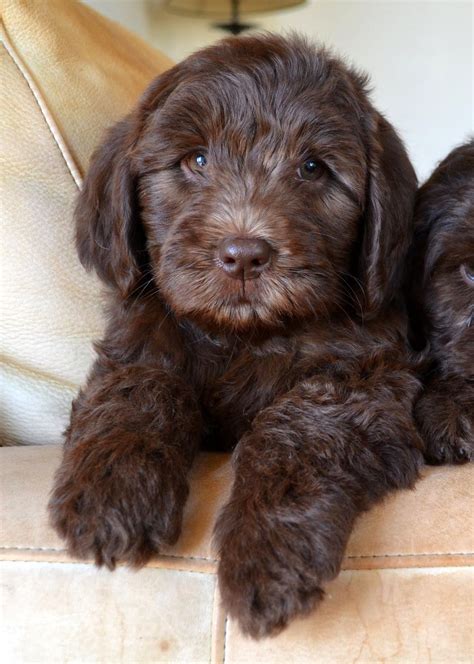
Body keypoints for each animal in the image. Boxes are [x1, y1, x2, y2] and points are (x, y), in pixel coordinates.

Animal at [49, 35, 422, 640]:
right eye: (196, 160)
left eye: (312, 168)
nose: (244, 255)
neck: (245, 333)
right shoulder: (137, 342)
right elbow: (139, 391)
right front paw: (113, 492)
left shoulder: (365, 381)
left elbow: (296, 434)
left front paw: (267, 554)